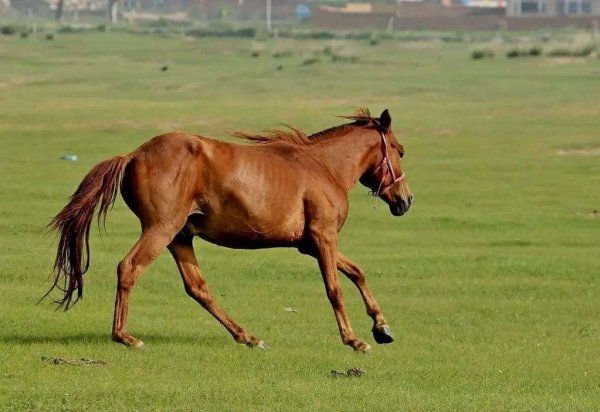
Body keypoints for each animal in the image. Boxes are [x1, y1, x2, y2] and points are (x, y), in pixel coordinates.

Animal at [45, 108, 412, 352]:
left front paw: (382, 327)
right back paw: (125, 337)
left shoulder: (309, 243)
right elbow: (335, 288)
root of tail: (134, 155)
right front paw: (355, 340)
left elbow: (357, 272)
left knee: (198, 288)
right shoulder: (323, 238)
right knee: (129, 268)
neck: (324, 168)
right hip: (161, 230)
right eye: (401, 151)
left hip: (179, 237)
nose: (406, 200)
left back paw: (247, 336)